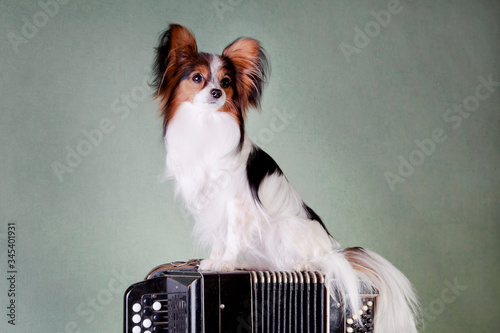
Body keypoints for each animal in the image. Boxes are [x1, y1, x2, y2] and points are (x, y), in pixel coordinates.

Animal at [151, 24, 418, 330]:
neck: (207, 125)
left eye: (227, 82)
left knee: (321, 262)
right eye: (197, 78)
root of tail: (335, 251)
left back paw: (306, 265)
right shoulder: (211, 204)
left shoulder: (237, 203)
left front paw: (226, 264)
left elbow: (232, 235)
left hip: (287, 226)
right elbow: (220, 236)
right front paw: (215, 262)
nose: (217, 92)